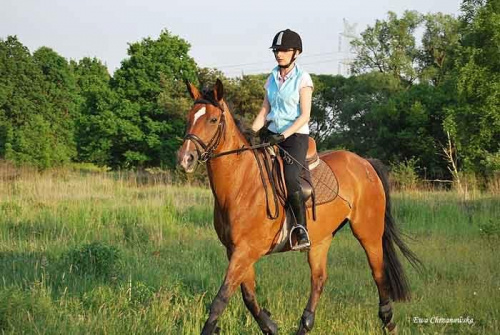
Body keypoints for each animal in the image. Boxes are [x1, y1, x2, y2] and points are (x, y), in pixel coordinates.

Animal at [178, 80, 420, 334]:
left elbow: (221, 299)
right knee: (319, 279)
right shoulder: (235, 250)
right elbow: (248, 296)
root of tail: (365, 163)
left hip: (368, 232)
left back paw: (388, 320)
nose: (185, 158)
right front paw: (270, 325)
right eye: (189, 117)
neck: (243, 183)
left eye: (213, 119)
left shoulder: (246, 250)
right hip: (321, 238)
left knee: (378, 273)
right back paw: (305, 325)